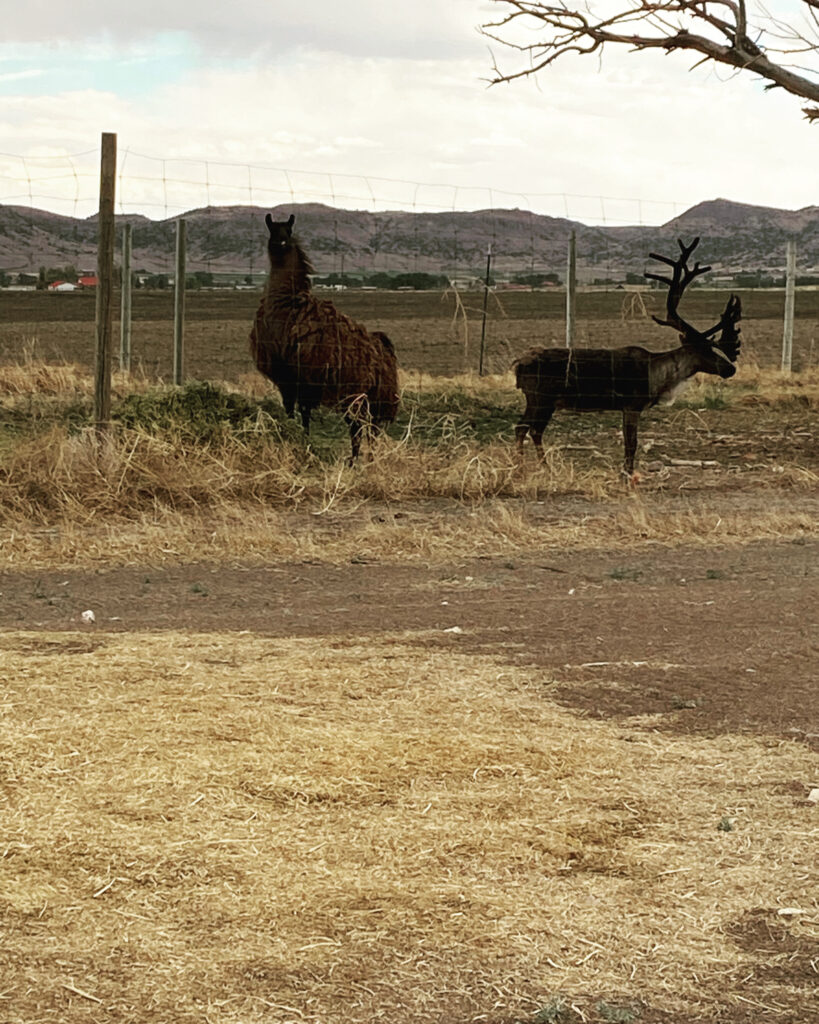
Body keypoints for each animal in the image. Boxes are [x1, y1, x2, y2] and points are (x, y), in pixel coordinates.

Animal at [511, 237, 741, 477]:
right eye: (703, 350)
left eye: (713, 347)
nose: (730, 368)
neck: (658, 378)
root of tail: (517, 366)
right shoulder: (632, 404)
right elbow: (632, 444)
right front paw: (627, 475)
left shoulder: (626, 407)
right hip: (540, 397)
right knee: (525, 428)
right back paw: (525, 468)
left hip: (540, 400)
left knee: (529, 429)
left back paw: (538, 466)